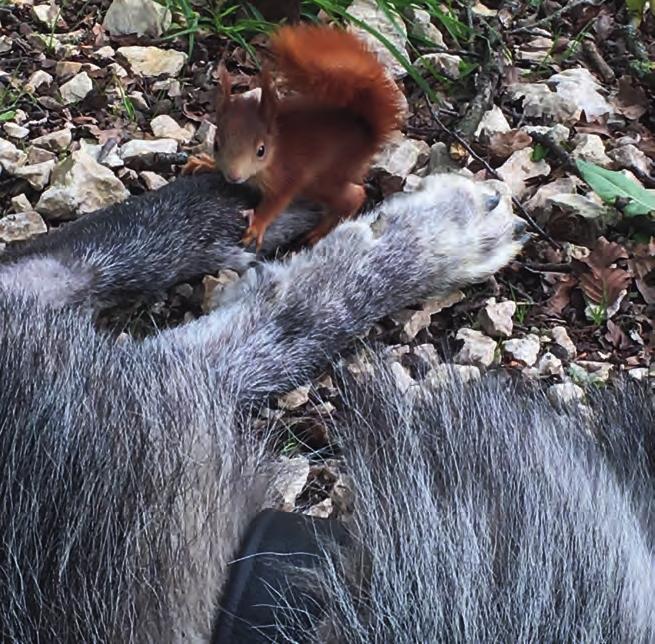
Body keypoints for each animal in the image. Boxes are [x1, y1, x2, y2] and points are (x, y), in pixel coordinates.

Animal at [182, 23, 402, 249]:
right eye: (216, 145)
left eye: (261, 151)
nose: (234, 177)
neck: (275, 149)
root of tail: (366, 132)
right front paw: (205, 163)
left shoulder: (287, 176)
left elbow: (276, 202)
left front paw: (257, 225)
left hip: (323, 178)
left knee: (353, 197)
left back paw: (319, 233)